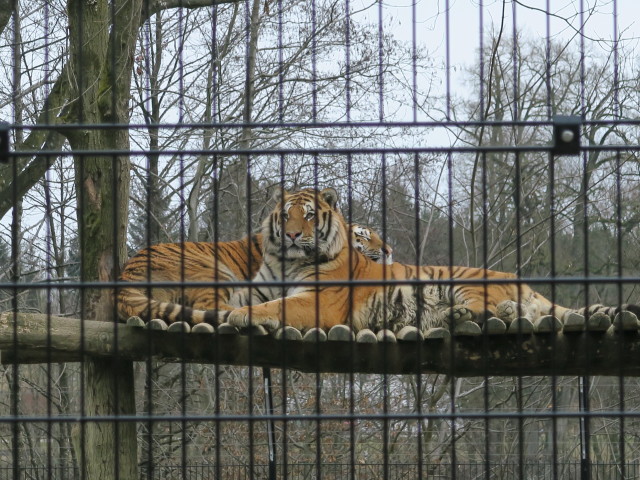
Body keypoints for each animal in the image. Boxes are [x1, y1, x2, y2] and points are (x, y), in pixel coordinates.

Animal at [225, 187, 640, 333]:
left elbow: (276, 306)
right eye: (287, 216)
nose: (294, 235)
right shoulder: (258, 287)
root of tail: (520, 281)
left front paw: (241, 316)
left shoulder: (317, 301)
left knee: (496, 311)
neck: (288, 261)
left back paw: (472, 314)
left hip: (465, 284)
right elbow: (243, 298)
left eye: (310, 216)